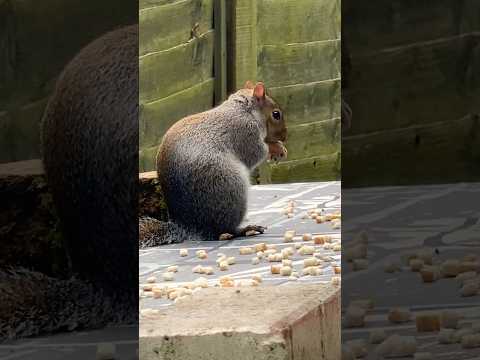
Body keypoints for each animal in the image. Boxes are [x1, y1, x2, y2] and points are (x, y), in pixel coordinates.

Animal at [151, 81, 284, 245]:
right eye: (276, 114)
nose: (284, 136)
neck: (245, 110)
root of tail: (189, 227)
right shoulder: (246, 133)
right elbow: (256, 152)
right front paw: (275, 147)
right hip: (228, 186)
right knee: (225, 228)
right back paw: (246, 229)